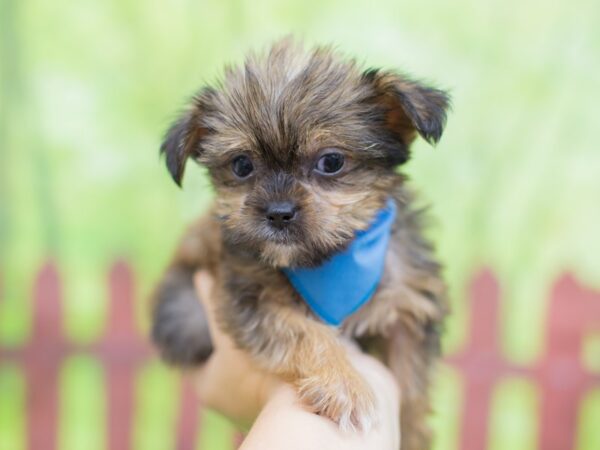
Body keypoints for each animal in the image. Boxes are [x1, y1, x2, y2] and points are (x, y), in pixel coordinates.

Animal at [152, 39, 448, 450]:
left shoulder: (407, 308)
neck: (329, 262)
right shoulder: (250, 297)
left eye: (331, 161)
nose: (278, 213)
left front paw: (411, 431)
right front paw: (345, 385)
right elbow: (306, 332)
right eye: (242, 165)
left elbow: (411, 386)